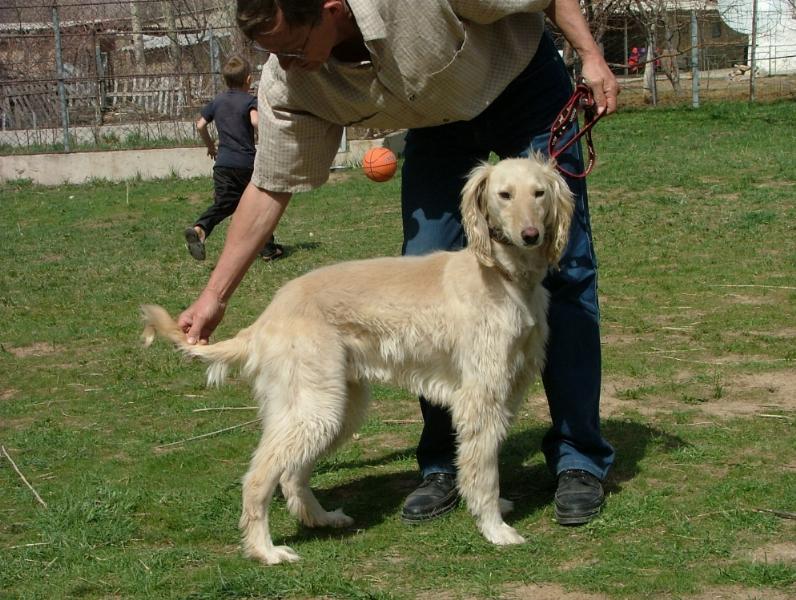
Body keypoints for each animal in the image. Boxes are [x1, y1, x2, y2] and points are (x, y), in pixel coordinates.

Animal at [141, 154, 572, 564]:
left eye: (539, 193)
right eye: (504, 195)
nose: (530, 235)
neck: (503, 274)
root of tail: (267, 316)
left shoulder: (508, 390)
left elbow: (486, 459)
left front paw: (495, 511)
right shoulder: (481, 396)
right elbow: (484, 472)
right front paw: (495, 528)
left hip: (335, 407)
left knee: (292, 475)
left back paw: (321, 518)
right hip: (315, 408)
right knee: (260, 477)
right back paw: (265, 550)